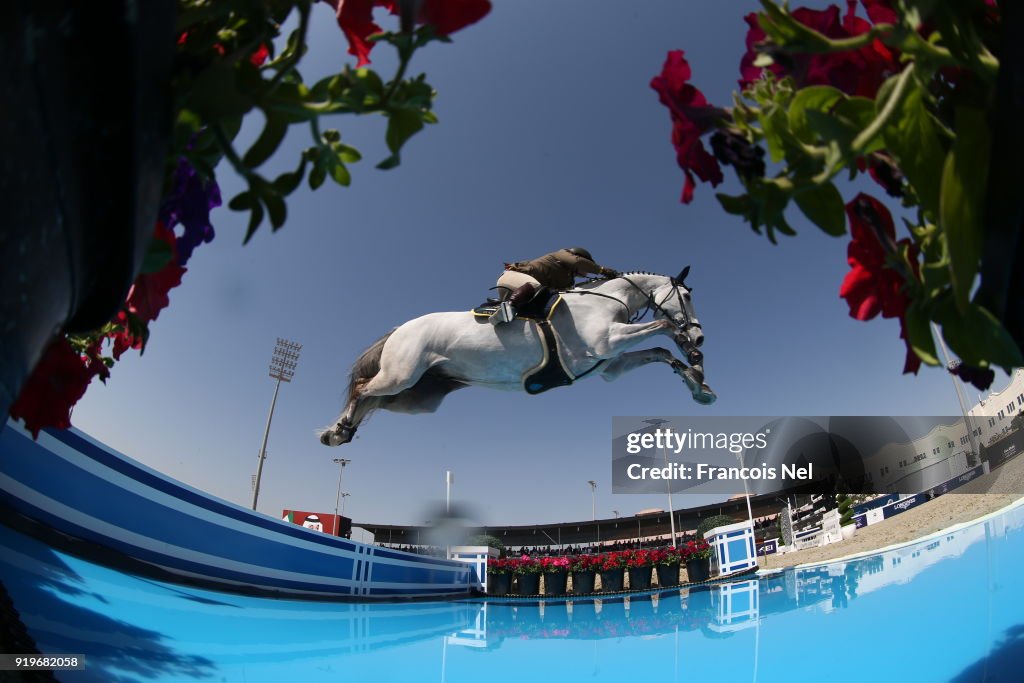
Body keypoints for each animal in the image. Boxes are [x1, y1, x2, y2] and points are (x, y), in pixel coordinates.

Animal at [317, 270, 712, 446]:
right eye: (687, 296)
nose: (699, 335)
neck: (606, 300)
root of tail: (400, 329)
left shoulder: (608, 365)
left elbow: (660, 352)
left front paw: (699, 384)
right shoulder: (607, 342)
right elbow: (663, 326)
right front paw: (691, 353)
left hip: (417, 396)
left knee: (373, 401)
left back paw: (342, 431)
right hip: (401, 375)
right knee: (363, 389)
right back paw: (337, 430)